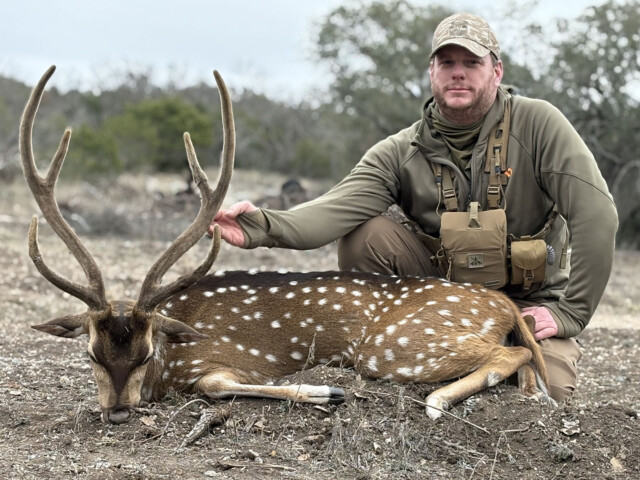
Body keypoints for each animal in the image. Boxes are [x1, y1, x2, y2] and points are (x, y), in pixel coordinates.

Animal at [21, 66, 555, 425]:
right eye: (91, 354)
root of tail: (503, 304)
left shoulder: (220, 358)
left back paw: (438, 400)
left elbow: (216, 384)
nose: (117, 411)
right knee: (525, 355)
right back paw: (535, 394)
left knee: (508, 356)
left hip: (396, 346)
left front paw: (327, 393)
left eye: (146, 353)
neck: (173, 357)